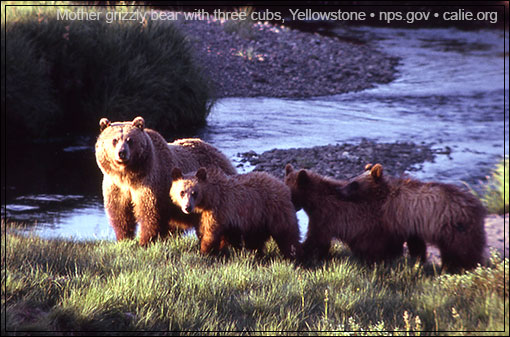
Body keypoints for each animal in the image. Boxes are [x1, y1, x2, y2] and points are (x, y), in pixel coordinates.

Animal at [94, 115, 236, 244]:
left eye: (130, 140)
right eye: (114, 140)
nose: (122, 153)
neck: (128, 176)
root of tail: (221, 154)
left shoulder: (150, 183)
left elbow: (150, 212)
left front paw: (144, 241)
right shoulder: (116, 186)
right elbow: (120, 213)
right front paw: (124, 238)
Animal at [169, 167, 300, 258]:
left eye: (194, 193)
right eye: (182, 192)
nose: (187, 207)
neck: (207, 200)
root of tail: (282, 184)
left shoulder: (218, 210)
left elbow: (211, 233)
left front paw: (205, 251)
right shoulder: (201, 216)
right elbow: (204, 231)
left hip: (274, 210)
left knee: (287, 235)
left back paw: (293, 255)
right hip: (257, 219)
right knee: (255, 239)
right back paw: (256, 254)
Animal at [336, 163, 488, 270]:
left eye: (354, 184)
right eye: (350, 179)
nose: (339, 190)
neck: (385, 195)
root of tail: (478, 207)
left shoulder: (399, 215)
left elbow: (395, 240)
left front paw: (393, 256)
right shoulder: (412, 223)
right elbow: (416, 243)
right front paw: (417, 260)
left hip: (455, 227)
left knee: (462, 250)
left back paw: (461, 268)